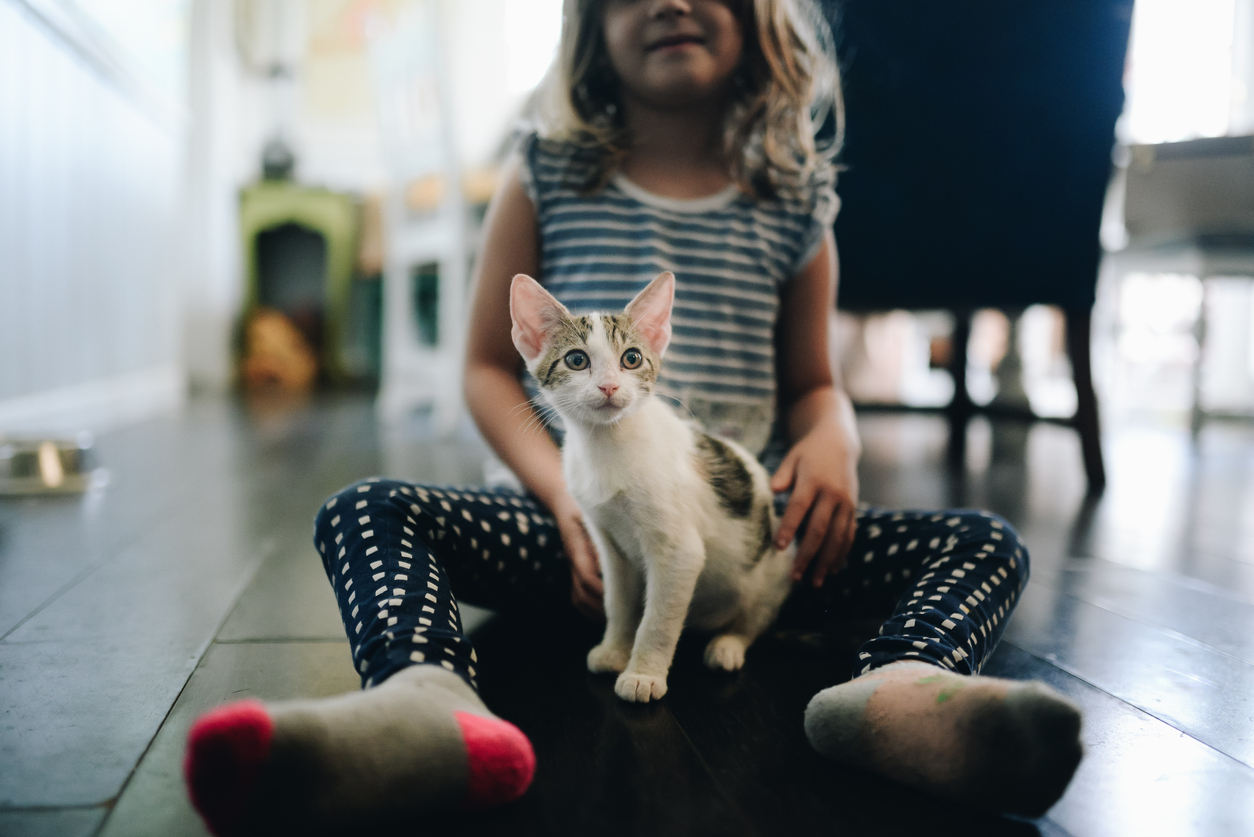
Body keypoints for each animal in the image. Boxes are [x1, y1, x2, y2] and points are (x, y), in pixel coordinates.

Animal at [509, 269, 792, 702]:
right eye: (577, 360)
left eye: (632, 358)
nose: (609, 386)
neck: (608, 445)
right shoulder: (608, 542)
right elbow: (620, 602)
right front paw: (614, 650)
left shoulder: (679, 553)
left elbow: (657, 620)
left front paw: (643, 674)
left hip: (774, 567)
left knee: (755, 618)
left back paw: (728, 644)